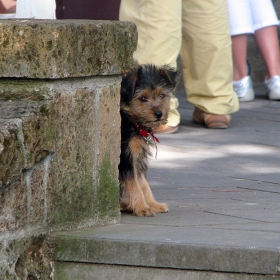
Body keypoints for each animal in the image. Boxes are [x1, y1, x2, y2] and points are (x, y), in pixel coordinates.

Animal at [118, 64, 179, 217]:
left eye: (162, 95)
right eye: (143, 98)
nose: (159, 114)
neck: (132, 121)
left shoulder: (137, 159)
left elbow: (143, 184)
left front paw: (153, 204)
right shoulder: (126, 160)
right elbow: (134, 184)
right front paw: (142, 207)